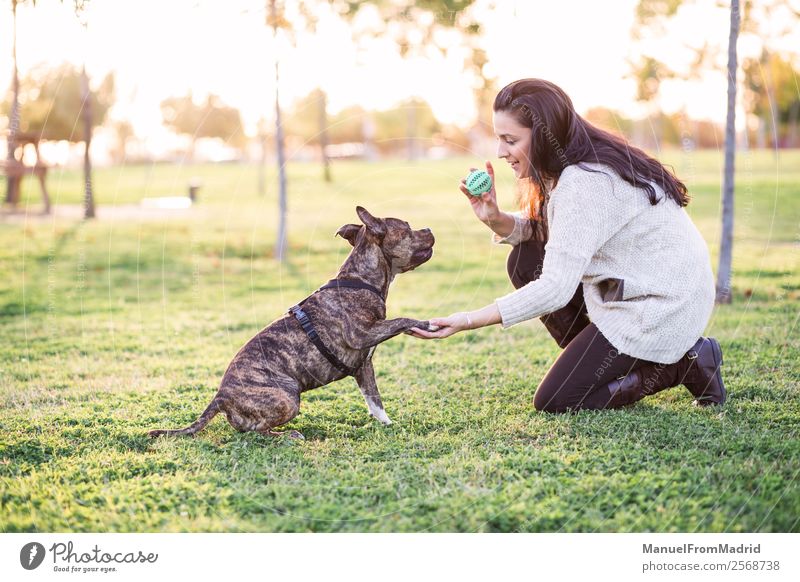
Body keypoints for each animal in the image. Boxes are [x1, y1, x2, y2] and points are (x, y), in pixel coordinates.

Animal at [150, 208, 438, 440]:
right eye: (408, 227)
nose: (429, 228)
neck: (361, 280)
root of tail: (220, 397)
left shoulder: (363, 366)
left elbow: (375, 401)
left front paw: (388, 424)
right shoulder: (360, 334)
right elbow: (400, 319)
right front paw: (426, 324)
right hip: (288, 397)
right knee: (256, 431)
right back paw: (287, 435)